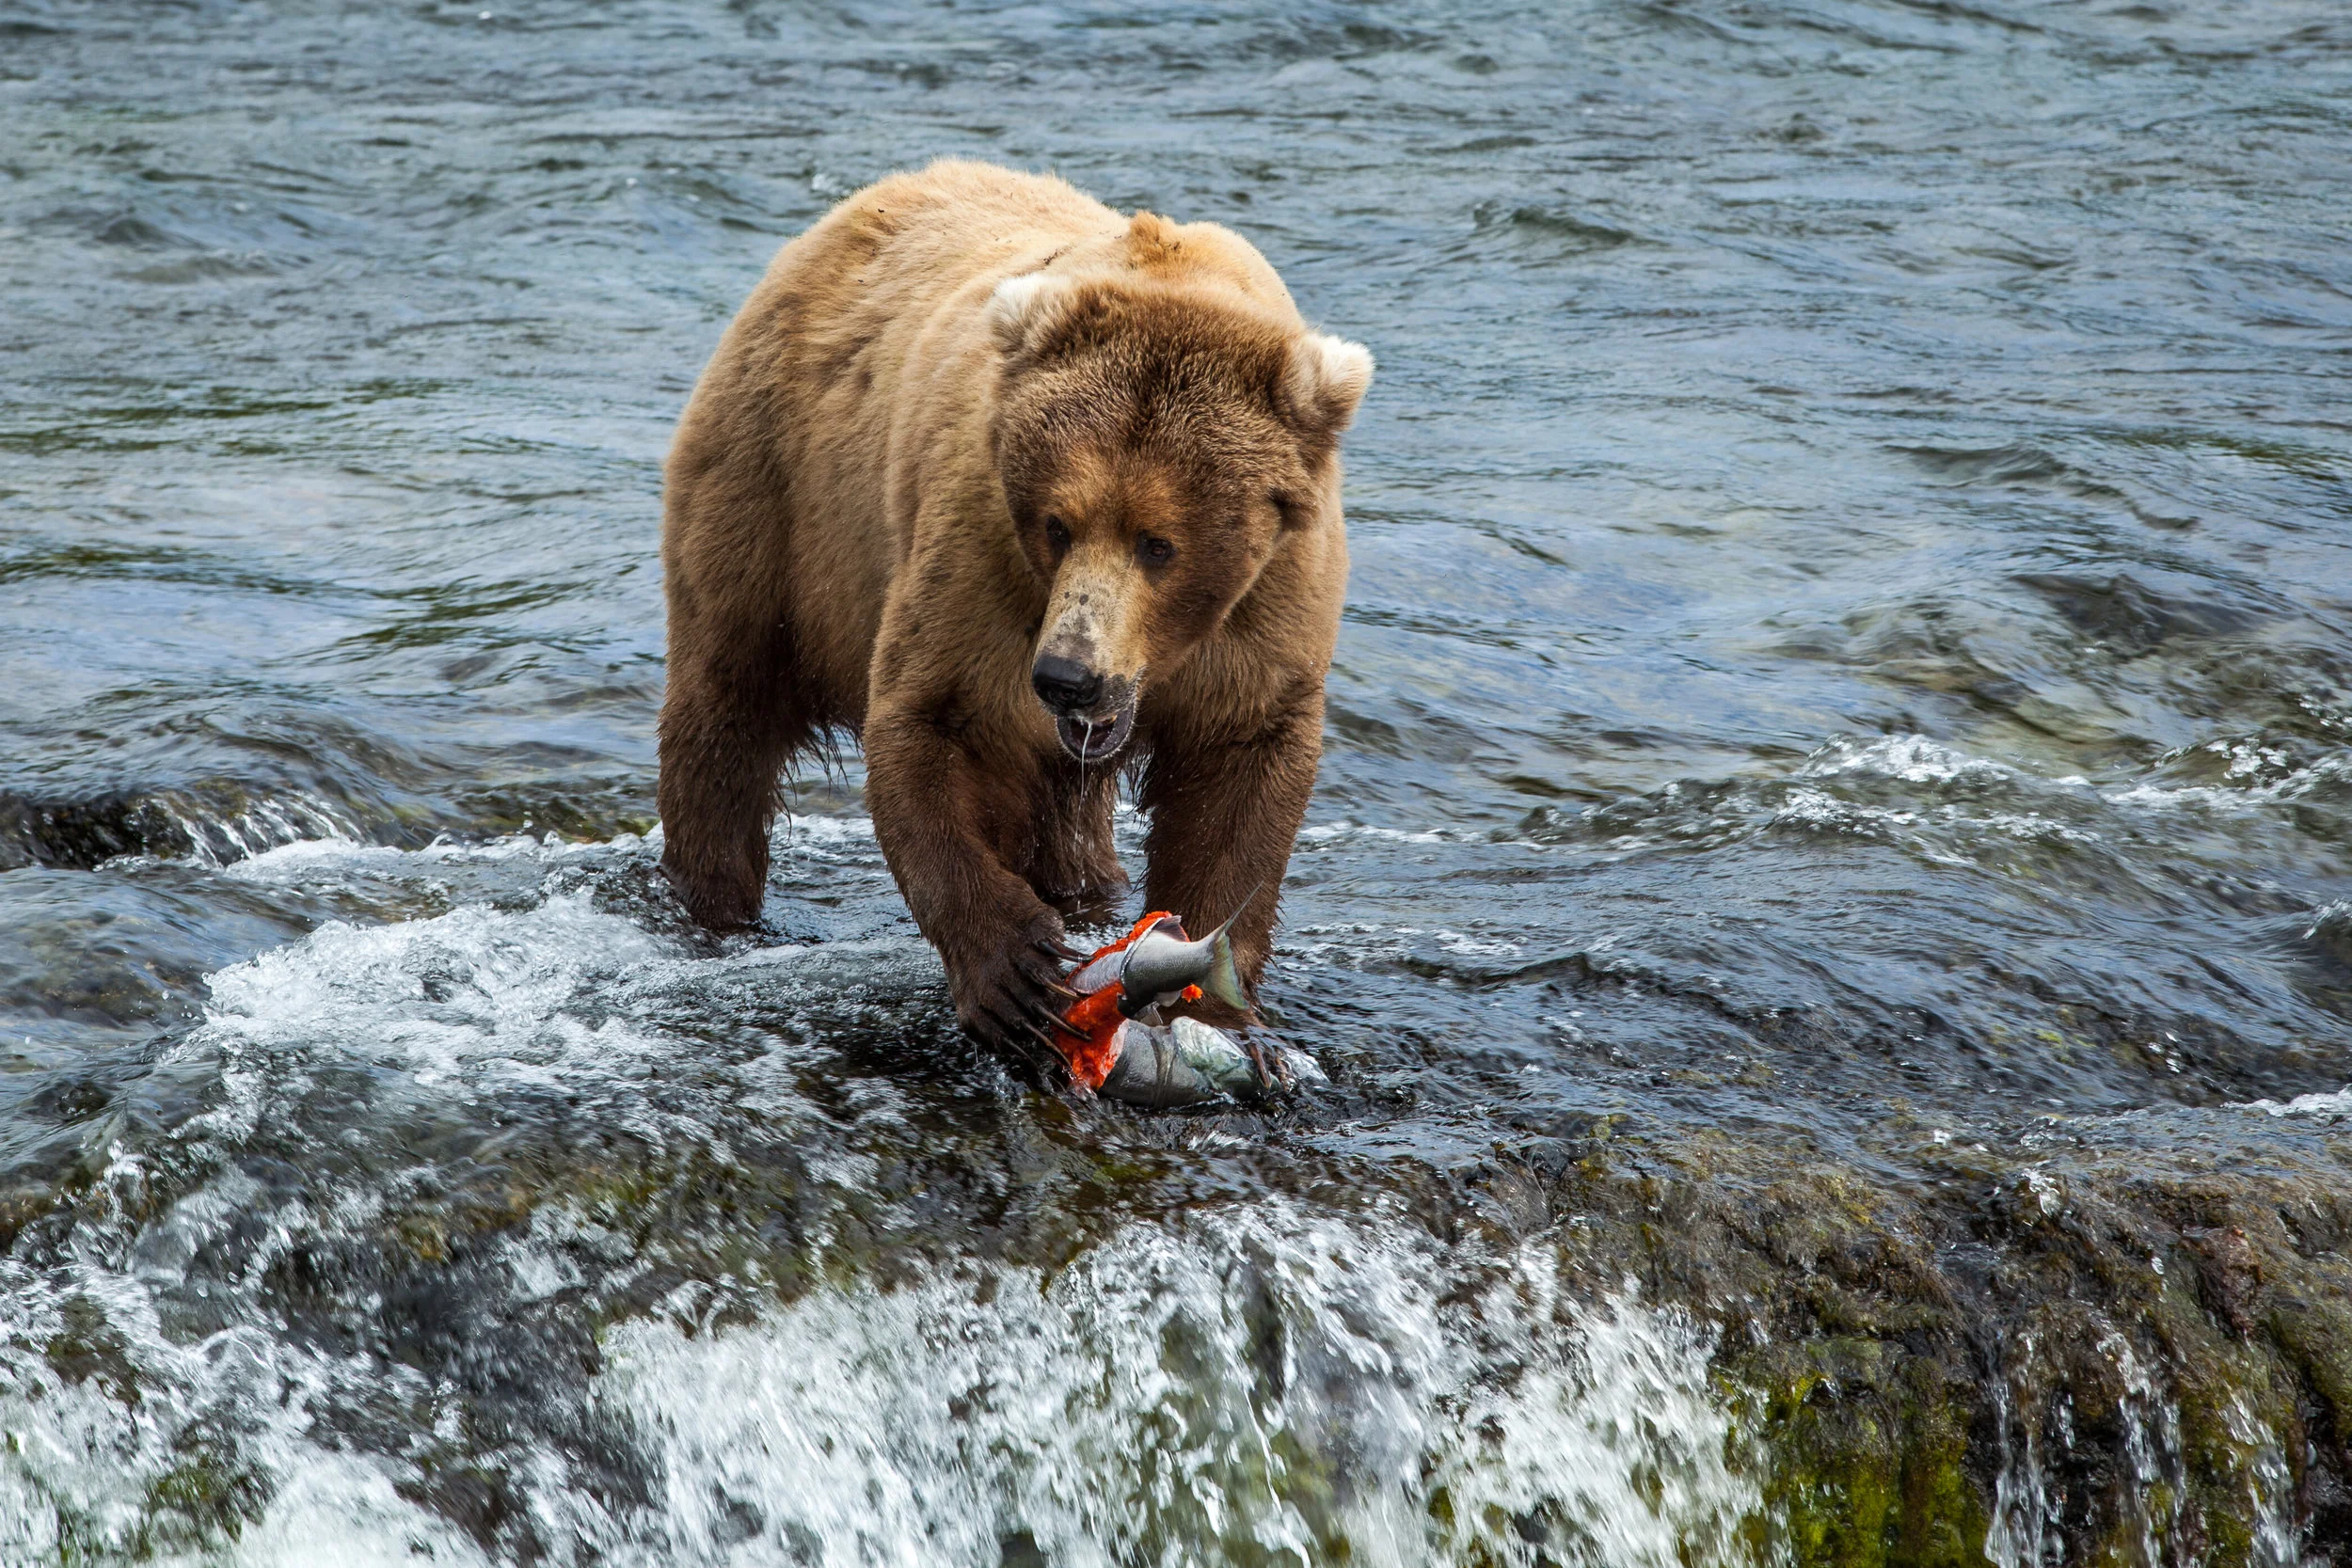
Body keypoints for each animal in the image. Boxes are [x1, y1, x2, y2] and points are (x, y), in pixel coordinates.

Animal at [656, 159, 1371, 1062]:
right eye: (1058, 524)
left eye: (1160, 543)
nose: (1067, 674)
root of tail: (836, 220)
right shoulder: (980, 551)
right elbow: (935, 721)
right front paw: (1015, 970)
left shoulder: (1271, 601)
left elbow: (1243, 768)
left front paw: (1214, 993)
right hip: (777, 497)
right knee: (727, 707)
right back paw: (715, 899)